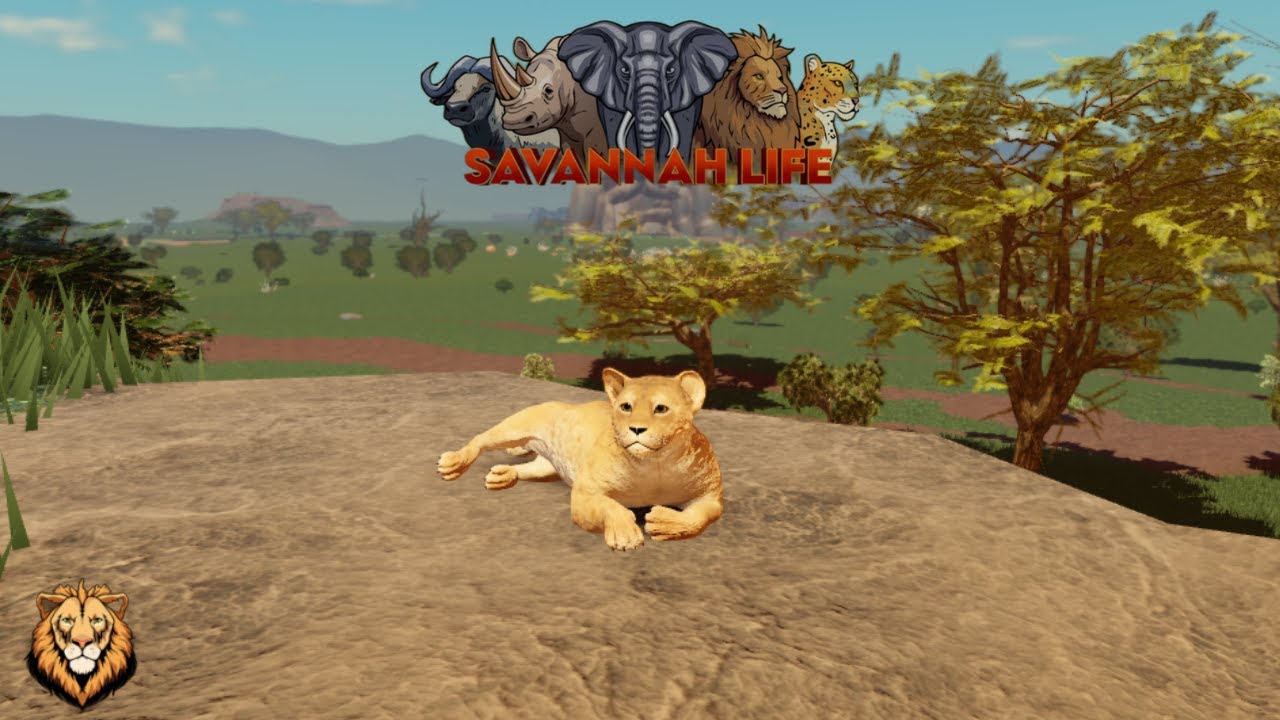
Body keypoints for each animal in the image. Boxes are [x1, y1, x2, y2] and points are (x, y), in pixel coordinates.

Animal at [437, 368, 723, 551]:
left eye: (661, 408)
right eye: (626, 406)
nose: (636, 429)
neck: (656, 464)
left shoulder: (710, 495)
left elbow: (701, 517)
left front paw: (665, 523)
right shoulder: (584, 494)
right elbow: (610, 506)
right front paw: (625, 535)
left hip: (546, 466)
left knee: (529, 466)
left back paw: (503, 475)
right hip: (517, 425)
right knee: (480, 438)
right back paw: (452, 463)